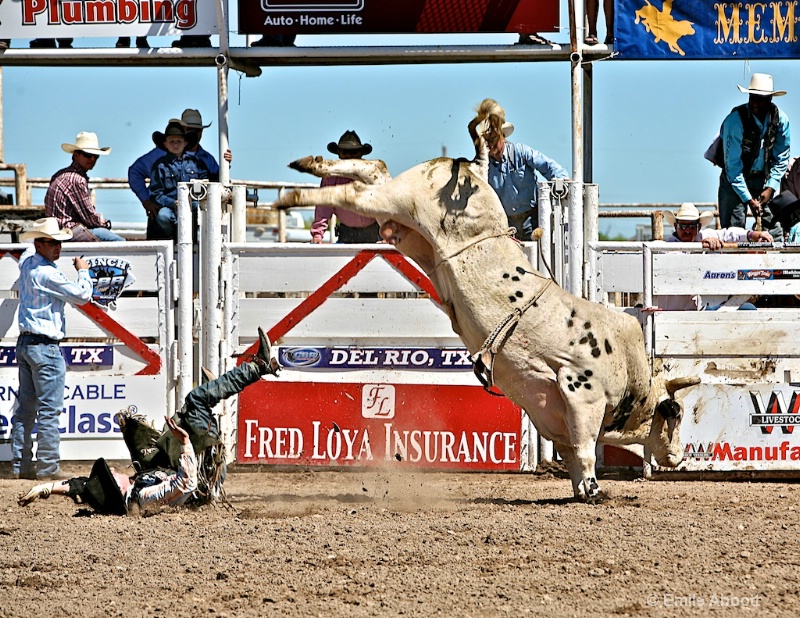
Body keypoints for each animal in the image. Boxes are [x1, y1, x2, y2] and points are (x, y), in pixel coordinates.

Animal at [276, 98, 700, 498]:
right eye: (676, 416)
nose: (679, 457)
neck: (630, 370)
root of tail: (474, 170)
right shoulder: (582, 392)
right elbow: (583, 448)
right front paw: (594, 491)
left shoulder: (553, 415)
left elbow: (570, 453)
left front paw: (582, 489)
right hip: (403, 200)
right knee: (359, 191)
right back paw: (288, 196)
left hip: (402, 223)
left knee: (373, 170)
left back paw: (308, 164)